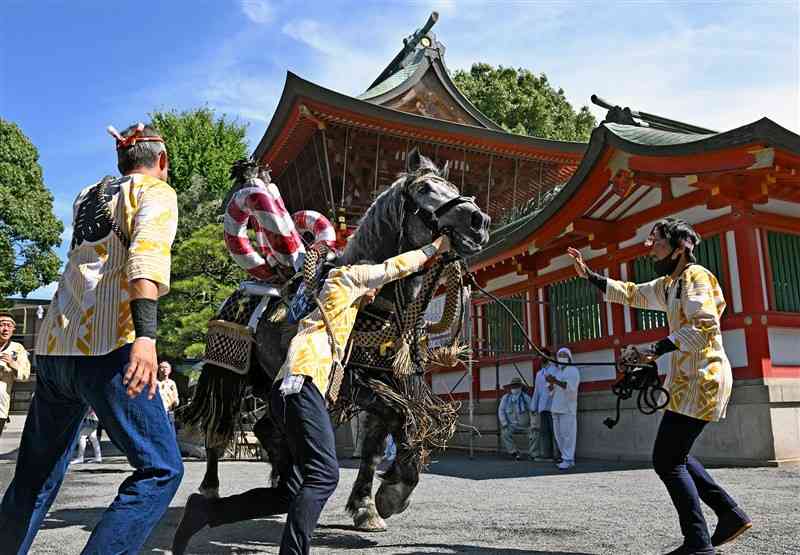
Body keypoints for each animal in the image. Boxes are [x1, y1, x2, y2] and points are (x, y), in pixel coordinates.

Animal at [186, 149, 488, 536]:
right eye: (424, 189)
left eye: (452, 186)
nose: (479, 221)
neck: (377, 305)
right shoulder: (354, 383)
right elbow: (400, 416)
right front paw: (394, 491)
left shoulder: (390, 378)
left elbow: (379, 442)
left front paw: (368, 506)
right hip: (228, 374)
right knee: (218, 428)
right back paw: (210, 488)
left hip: (268, 382)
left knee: (266, 429)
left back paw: (285, 479)